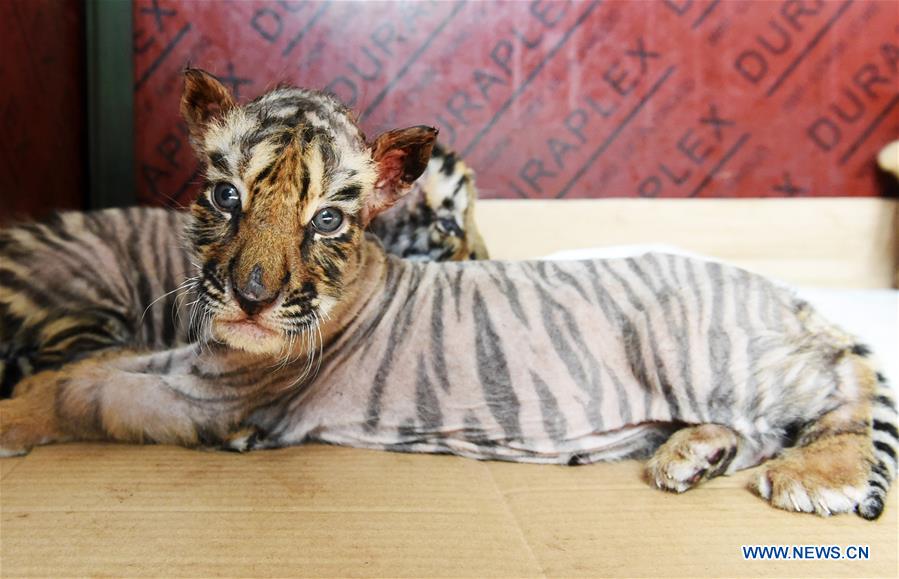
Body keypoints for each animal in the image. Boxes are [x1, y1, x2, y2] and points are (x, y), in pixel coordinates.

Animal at [0, 68, 895, 520]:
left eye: (328, 218)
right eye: (227, 196)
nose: (252, 297)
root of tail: (786, 294)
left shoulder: (214, 395)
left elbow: (84, 389)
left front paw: (11, 416)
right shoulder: (193, 360)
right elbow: (93, 365)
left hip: (706, 346)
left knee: (844, 385)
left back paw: (821, 476)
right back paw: (688, 456)